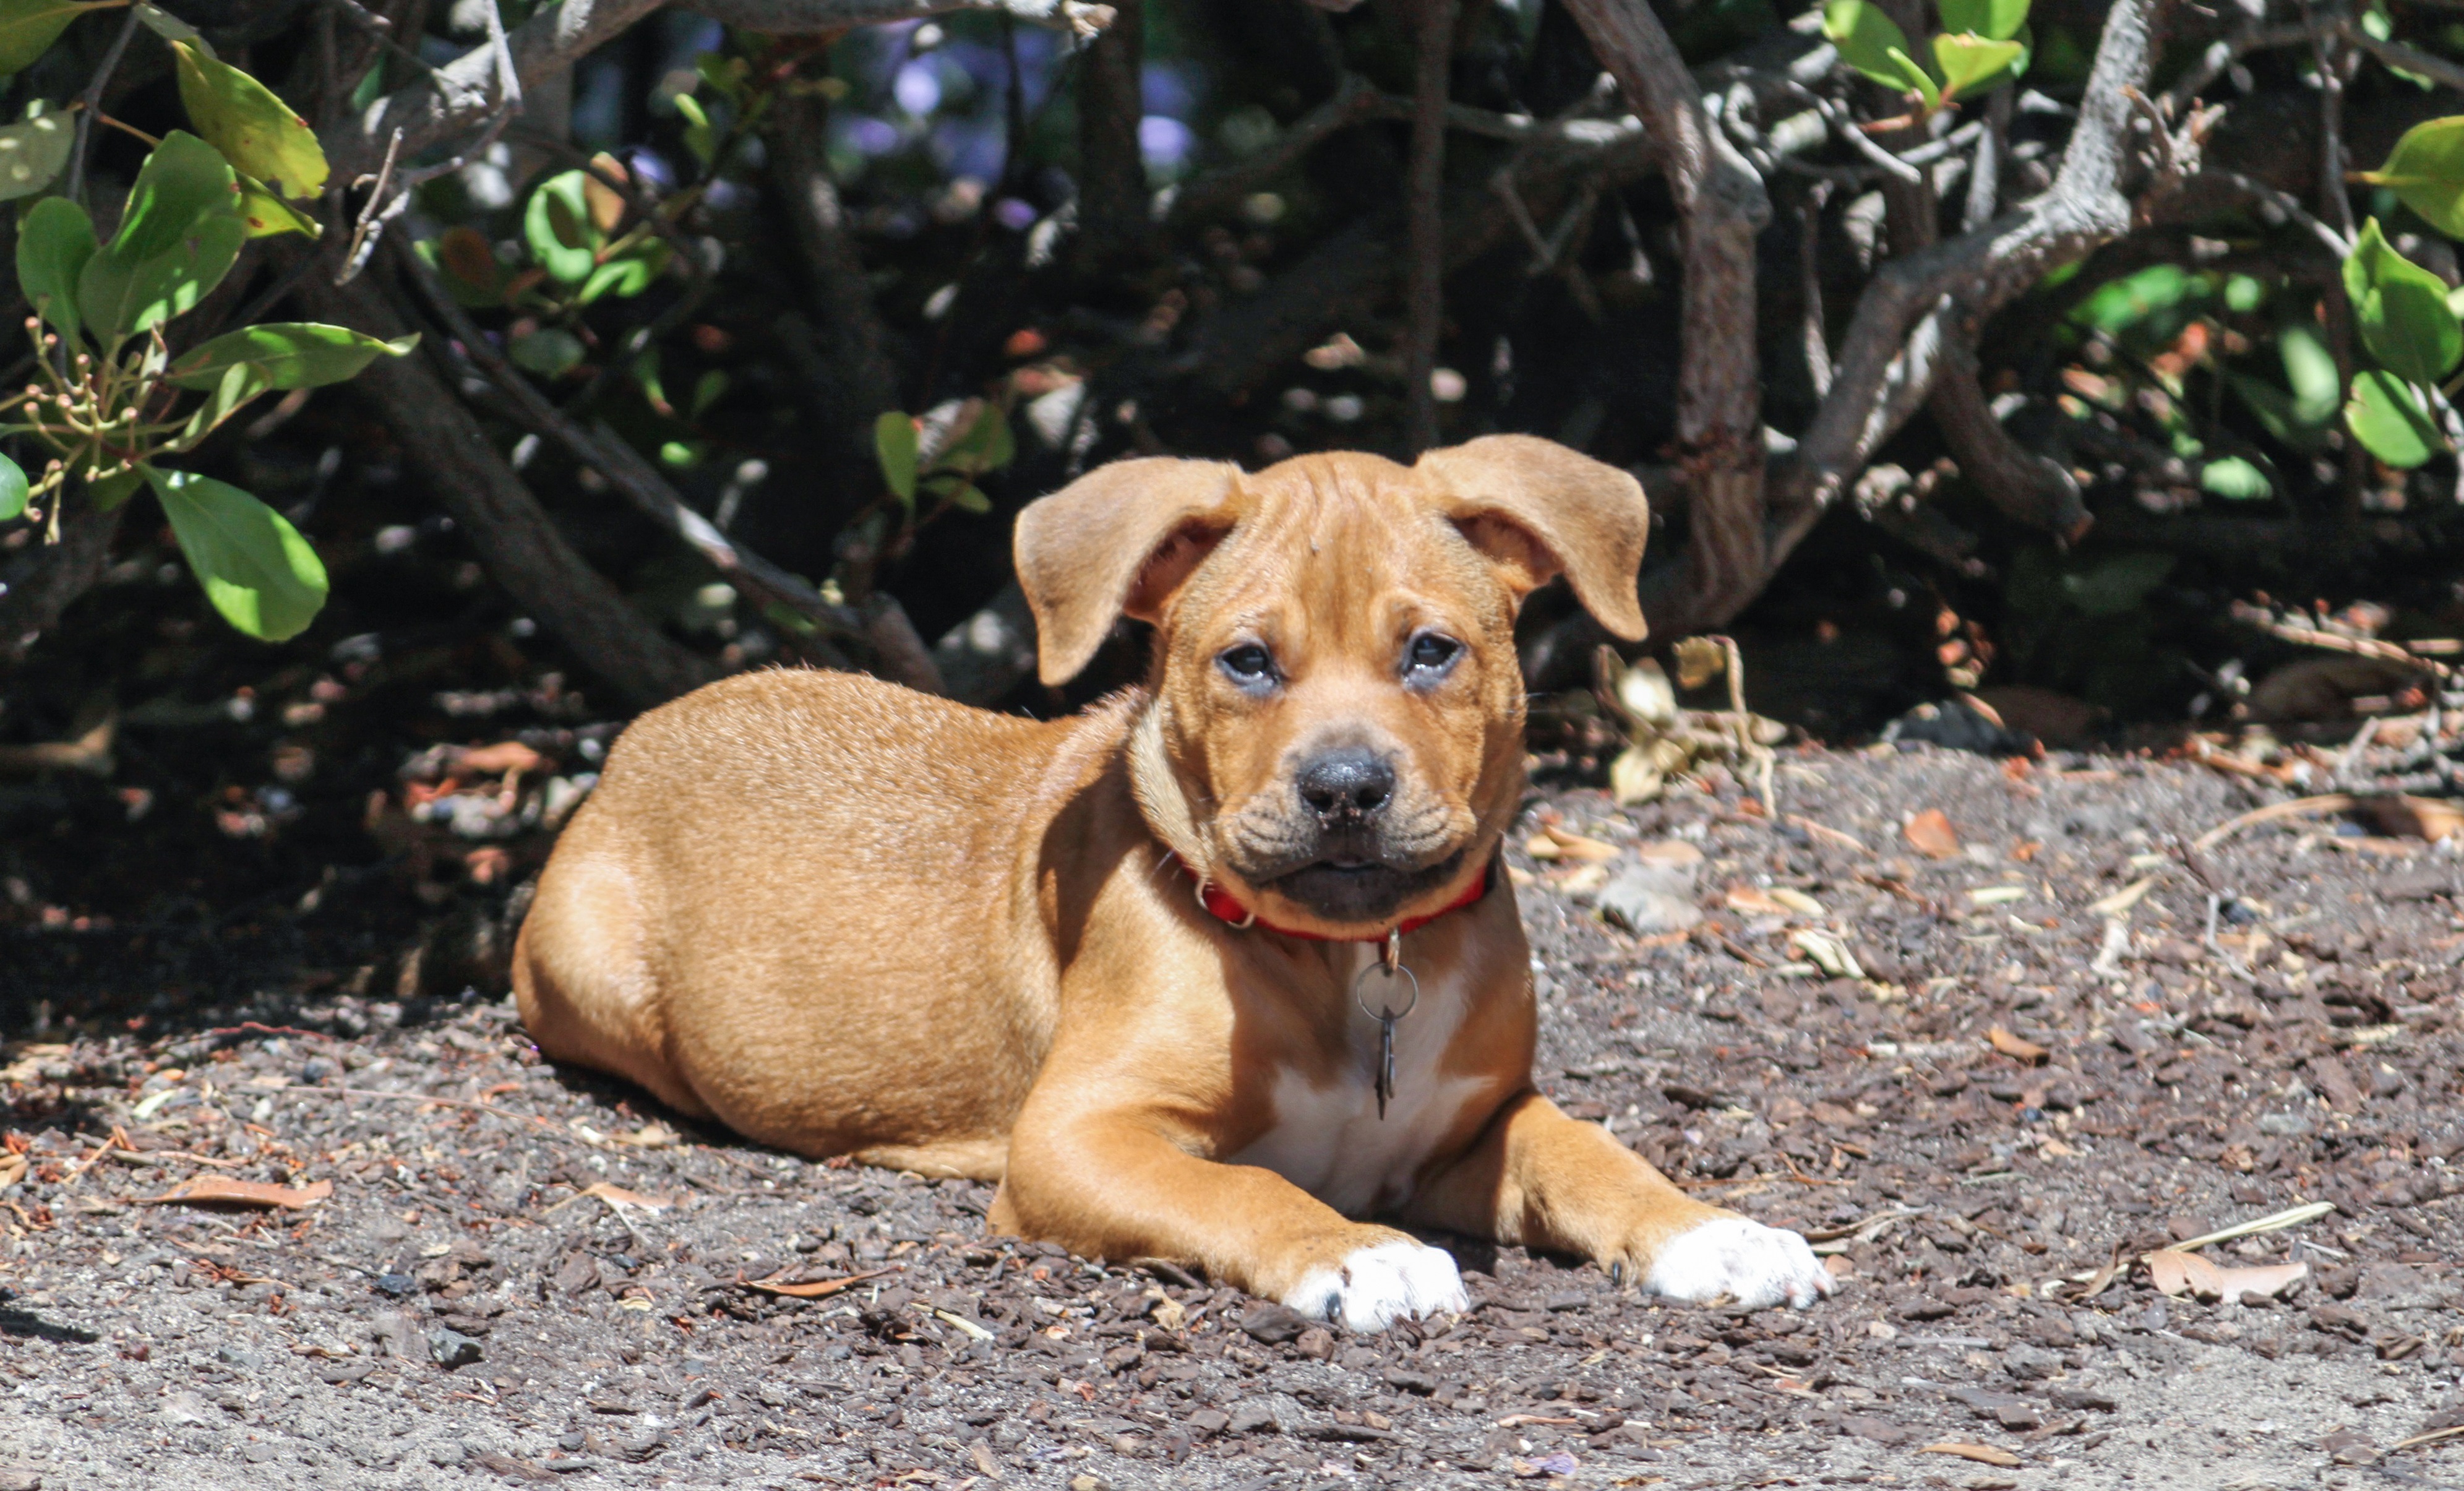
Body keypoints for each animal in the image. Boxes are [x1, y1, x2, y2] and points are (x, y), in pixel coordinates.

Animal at [515, 439, 1833, 1321]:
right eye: (1246, 663)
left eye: (1429, 652)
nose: (1344, 788)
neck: (1348, 966)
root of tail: (641, 734)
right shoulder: (1082, 1136)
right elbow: (1244, 1192)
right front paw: (1358, 1253)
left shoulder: (1481, 1123)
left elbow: (1593, 1156)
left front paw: (1709, 1233)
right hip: (592, 980)